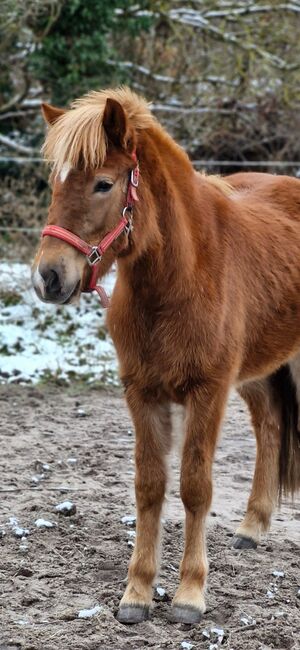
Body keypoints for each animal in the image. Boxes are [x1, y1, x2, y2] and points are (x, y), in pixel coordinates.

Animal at [31, 86, 300, 624]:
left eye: (104, 184)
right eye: (55, 182)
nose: (48, 276)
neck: (180, 277)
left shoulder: (208, 392)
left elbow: (195, 487)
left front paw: (189, 595)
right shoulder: (142, 392)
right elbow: (150, 486)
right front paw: (137, 592)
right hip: (256, 370)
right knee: (269, 426)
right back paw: (252, 527)